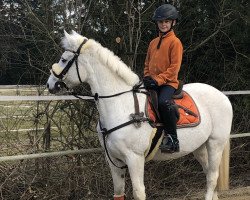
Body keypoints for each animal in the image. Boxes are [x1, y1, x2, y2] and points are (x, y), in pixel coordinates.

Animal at [46, 30, 232, 199]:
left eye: (64, 60)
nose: (50, 84)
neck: (120, 104)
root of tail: (222, 96)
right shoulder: (113, 161)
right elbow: (118, 192)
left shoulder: (134, 159)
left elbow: (138, 193)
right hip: (199, 147)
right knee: (209, 174)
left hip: (215, 144)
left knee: (212, 177)